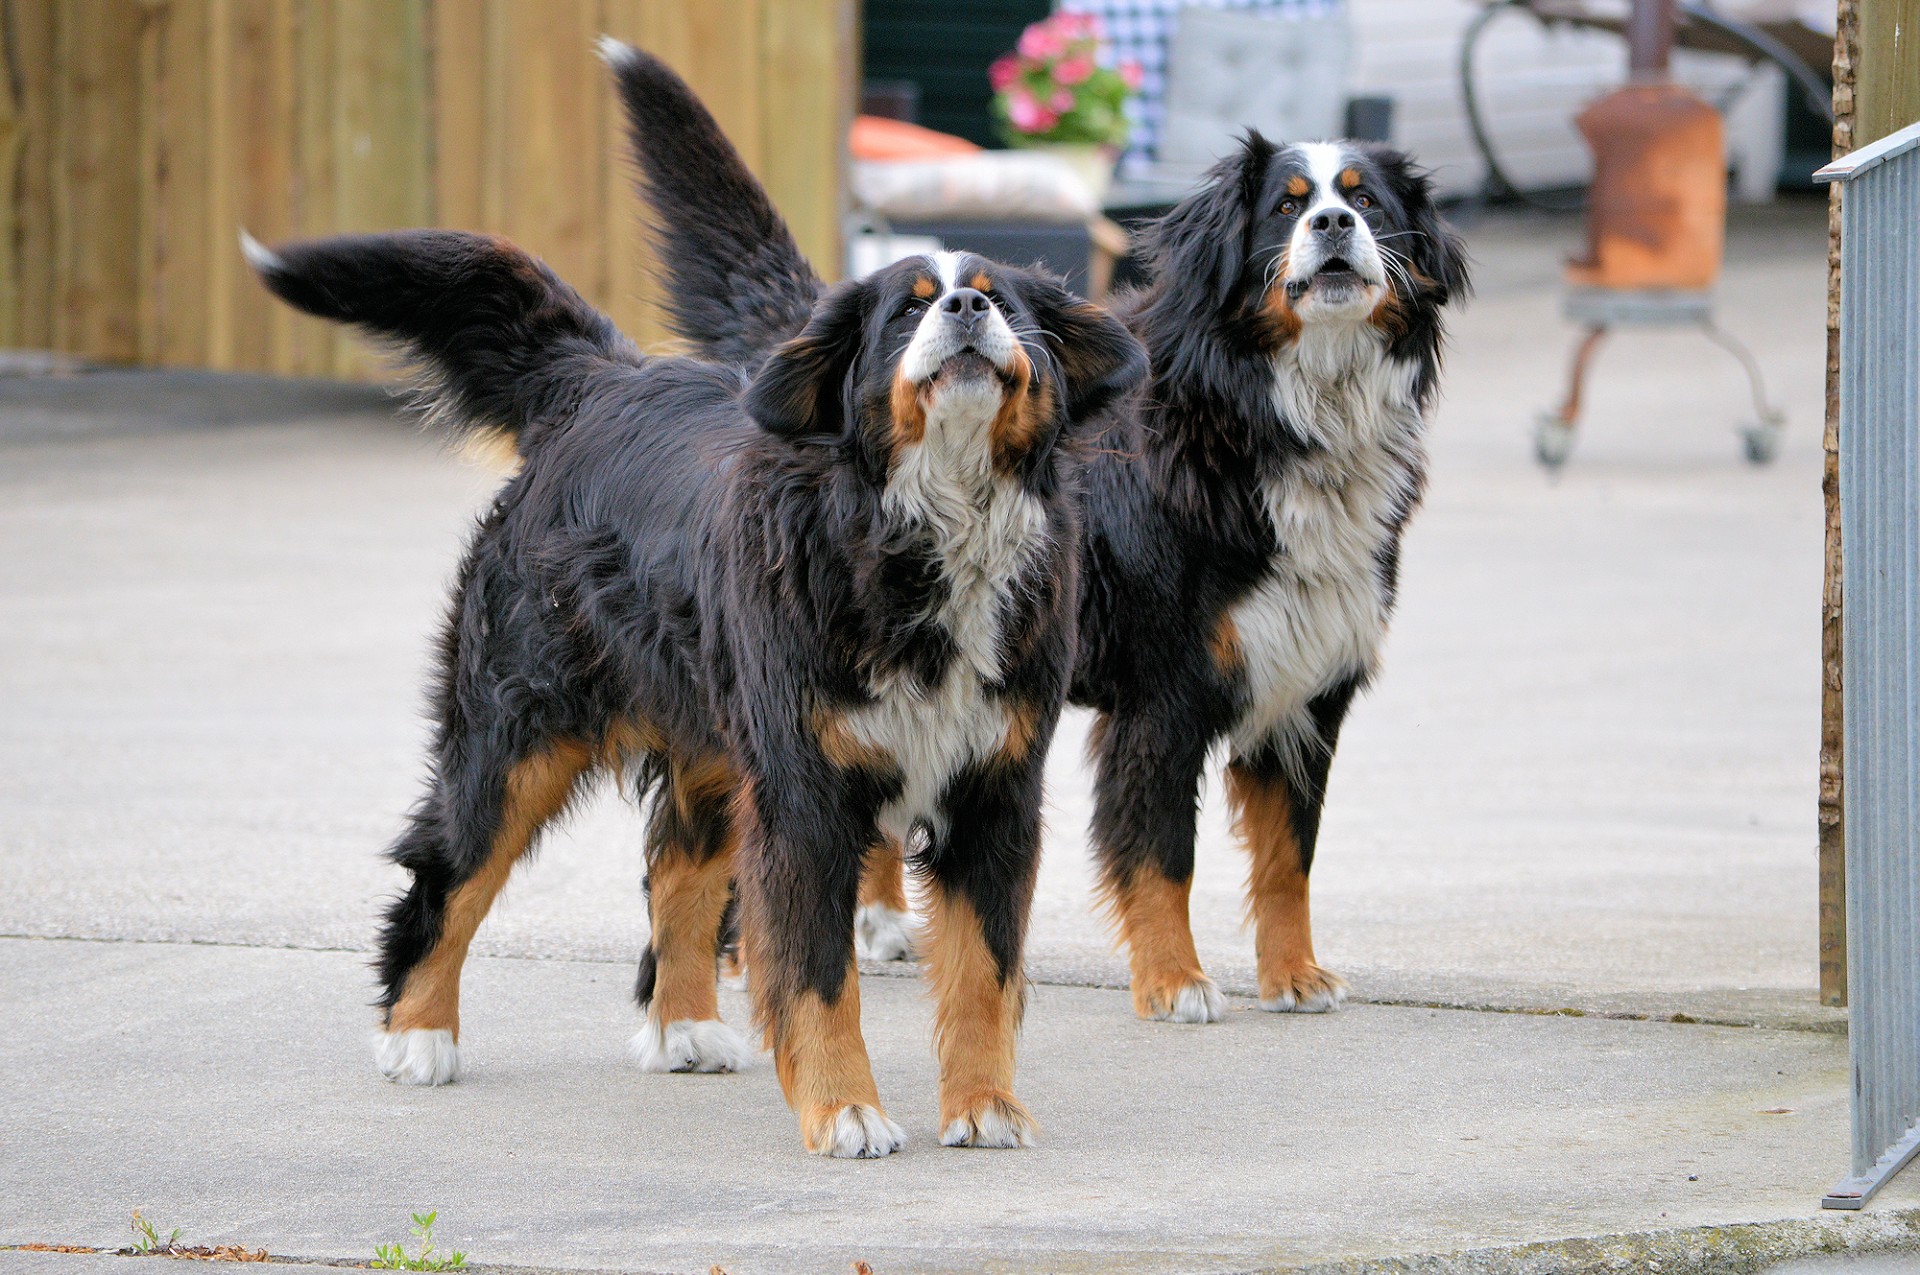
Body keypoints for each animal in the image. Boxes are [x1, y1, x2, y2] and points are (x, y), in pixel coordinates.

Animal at [240, 44, 1136, 1152]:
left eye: (1005, 302)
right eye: (908, 306)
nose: (967, 311)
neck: (925, 530)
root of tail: (599, 380)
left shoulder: (994, 789)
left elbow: (982, 971)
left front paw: (984, 1108)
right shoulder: (805, 793)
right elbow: (817, 975)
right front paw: (845, 1110)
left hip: (709, 730)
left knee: (677, 869)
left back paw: (685, 1028)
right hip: (519, 730)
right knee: (449, 869)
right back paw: (419, 1036)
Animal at [625, 77, 1466, 1029]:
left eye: (1367, 200)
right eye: (1288, 207)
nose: (1332, 223)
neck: (1267, 413)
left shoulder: (1307, 685)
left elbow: (1291, 855)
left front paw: (1294, 975)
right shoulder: (1163, 694)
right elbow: (1163, 856)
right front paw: (1175, 980)